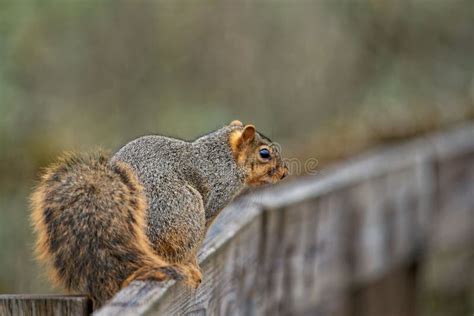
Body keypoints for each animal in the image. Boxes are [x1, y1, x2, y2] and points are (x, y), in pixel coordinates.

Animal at [31, 119, 288, 308]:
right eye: (264, 154)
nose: (284, 173)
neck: (223, 158)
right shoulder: (213, 199)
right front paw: (194, 265)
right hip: (186, 211)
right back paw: (186, 268)